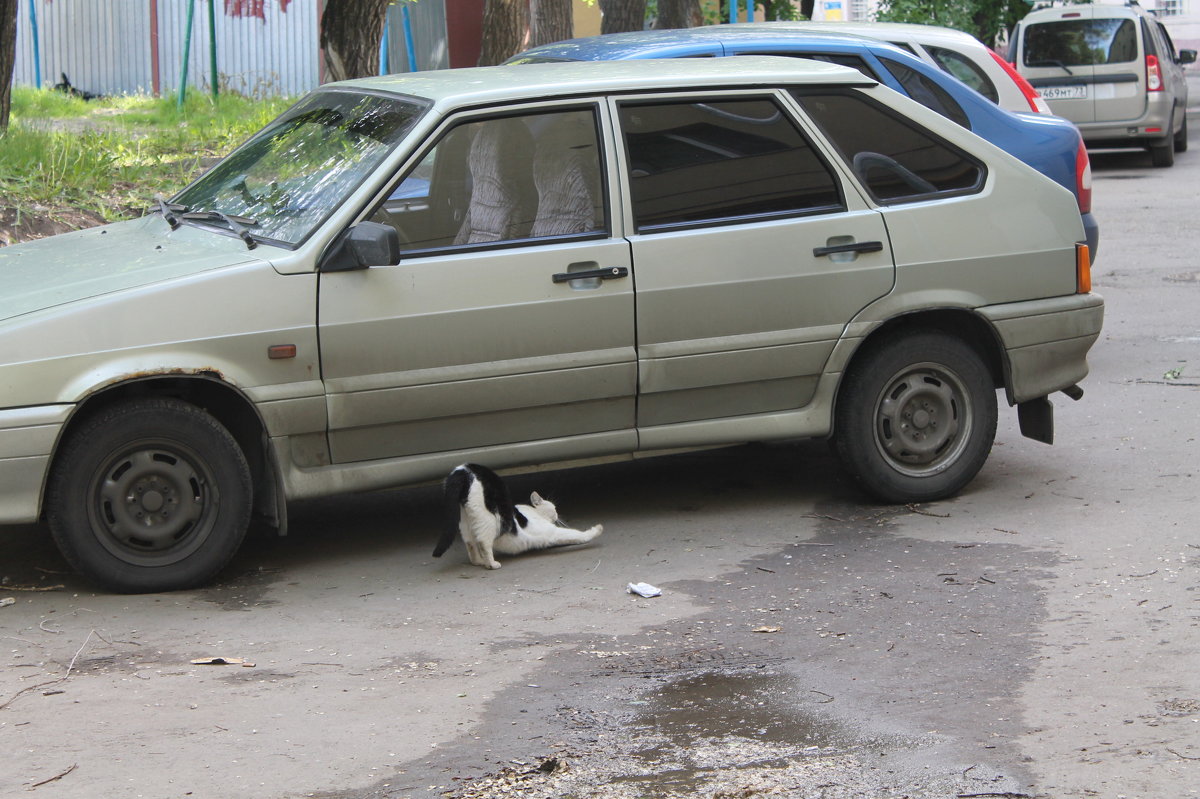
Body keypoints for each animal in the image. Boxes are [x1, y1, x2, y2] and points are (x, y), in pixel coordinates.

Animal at [432, 460, 600, 566]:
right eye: (554, 508)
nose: (558, 515)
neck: (533, 512)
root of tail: (464, 469)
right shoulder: (551, 532)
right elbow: (576, 534)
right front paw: (596, 530)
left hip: (464, 521)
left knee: (470, 544)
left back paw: (478, 561)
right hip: (487, 519)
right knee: (483, 542)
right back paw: (491, 564)